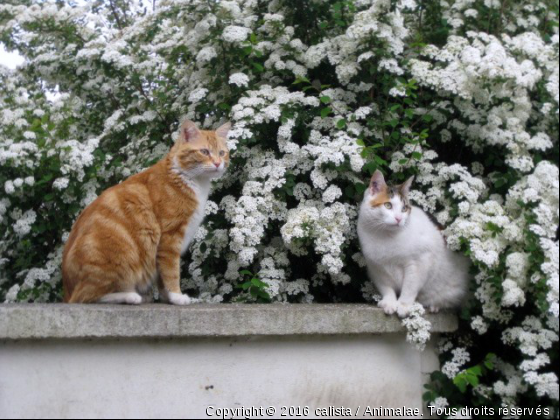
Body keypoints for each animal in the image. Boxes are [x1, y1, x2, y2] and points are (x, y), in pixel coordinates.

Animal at [60, 120, 228, 304]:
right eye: (204, 152)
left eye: (222, 153)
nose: (218, 163)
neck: (189, 180)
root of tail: (67, 289)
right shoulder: (170, 238)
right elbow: (171, 273)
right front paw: (177, 296)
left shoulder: (162, 250)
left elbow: (162, 278)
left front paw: (168, 298)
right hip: (120, 256)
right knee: (87, 297)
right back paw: (130, 296)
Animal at [358, 169, 468, 316]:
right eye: (388, 205)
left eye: (404, 209)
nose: (399, 218)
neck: (384, 236)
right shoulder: (376, 269)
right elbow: (386, 288)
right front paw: (389, 303)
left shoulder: (419, 263)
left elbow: (410, 287)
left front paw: (403, 305)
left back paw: (434, 306)